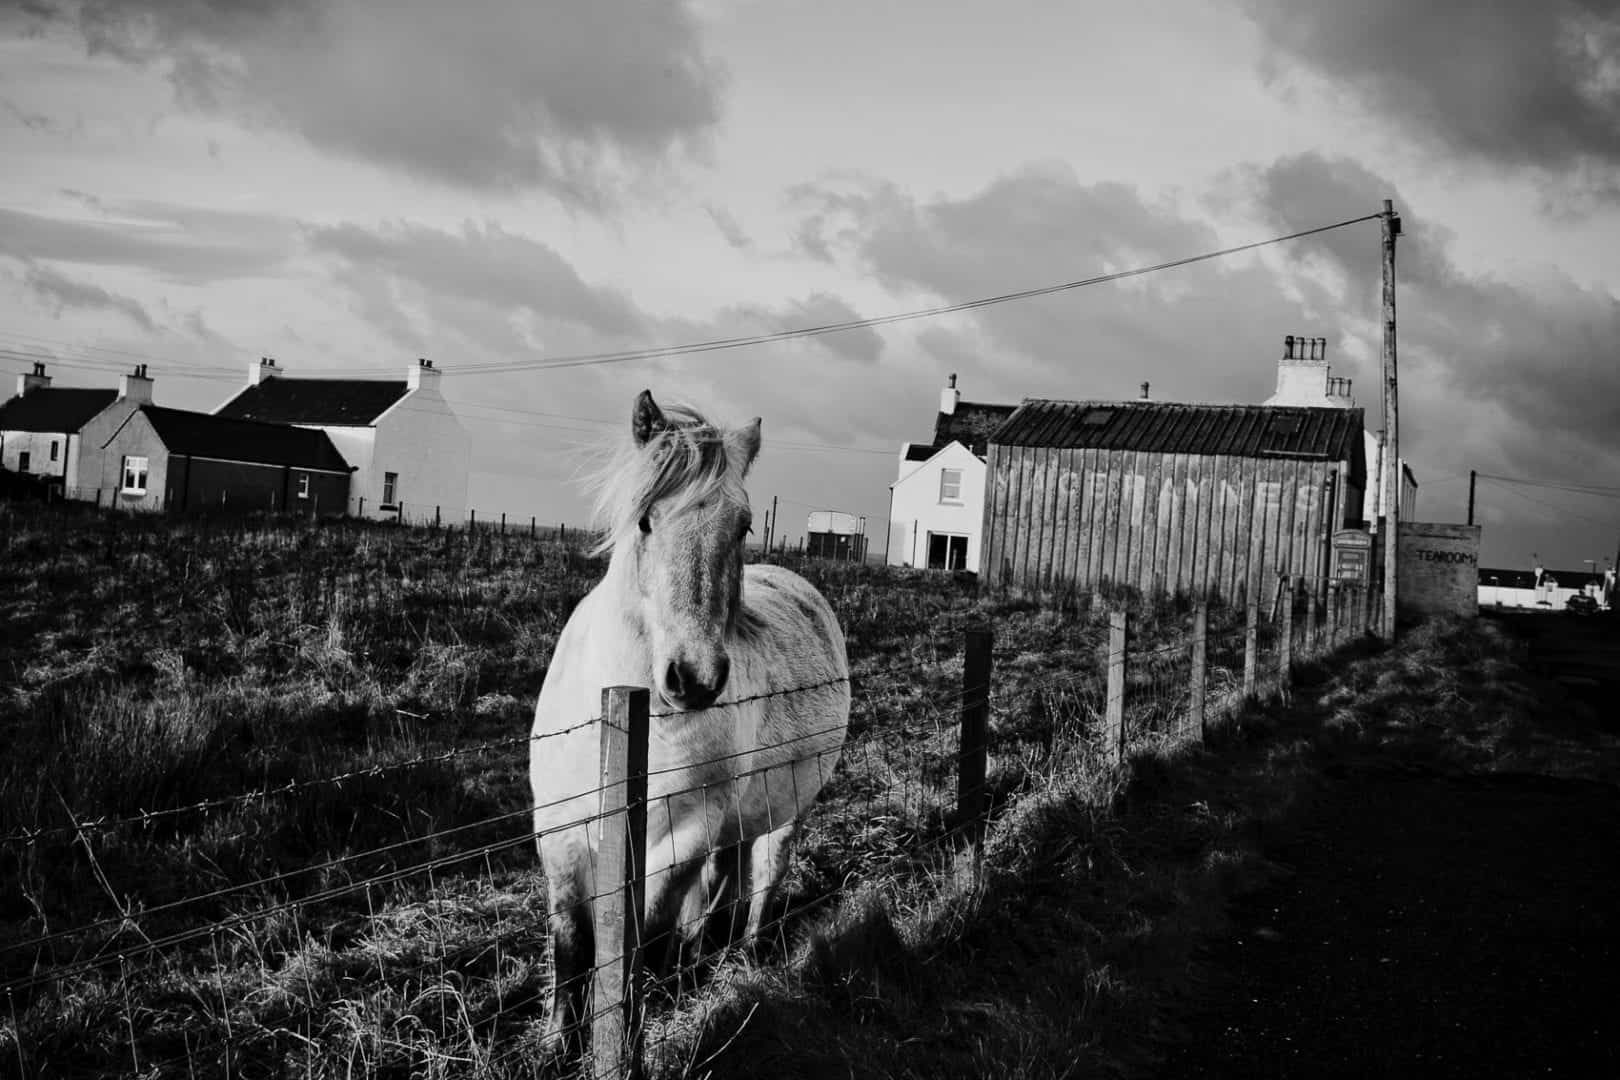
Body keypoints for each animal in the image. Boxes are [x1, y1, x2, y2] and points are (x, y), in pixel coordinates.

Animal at [529, 389, 851, 1055]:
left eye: (744, 525)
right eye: (645, 520)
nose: (695, 678)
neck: (629, 722)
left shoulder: (683, 838)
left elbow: (639, 938)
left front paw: (624, 1026)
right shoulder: (560, 834)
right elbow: (571, 944)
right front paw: (557, 1042)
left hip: (785, 809)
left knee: (762, 875)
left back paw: (745, 957)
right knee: (724, 882)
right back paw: (704, 958)